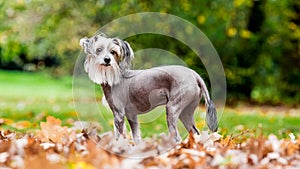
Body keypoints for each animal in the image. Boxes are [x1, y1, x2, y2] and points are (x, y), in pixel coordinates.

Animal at [78, 33, 217, 142]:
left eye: (113, 52)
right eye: (99, 50)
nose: (107, 60)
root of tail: (194, 75)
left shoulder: (118, 114)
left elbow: (119, 136)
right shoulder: (132, 116)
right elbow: (136, 137)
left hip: (172, 109)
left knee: (177, 137)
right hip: (185, 113)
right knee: (195, 133)